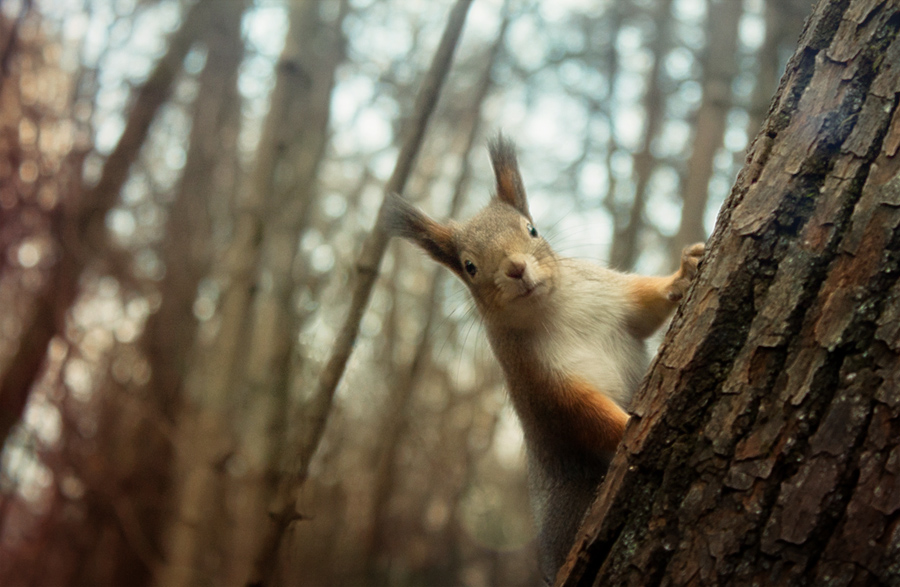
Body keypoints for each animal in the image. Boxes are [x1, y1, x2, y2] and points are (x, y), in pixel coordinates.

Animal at [380, 134, 704, 584]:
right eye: (469, 266)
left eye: (532, 230)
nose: (516, 268)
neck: (551, 308)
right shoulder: (539, 380)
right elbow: (583, 413)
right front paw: (627, 427)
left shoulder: (611, 296)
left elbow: (646, 304)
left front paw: (685, 271)